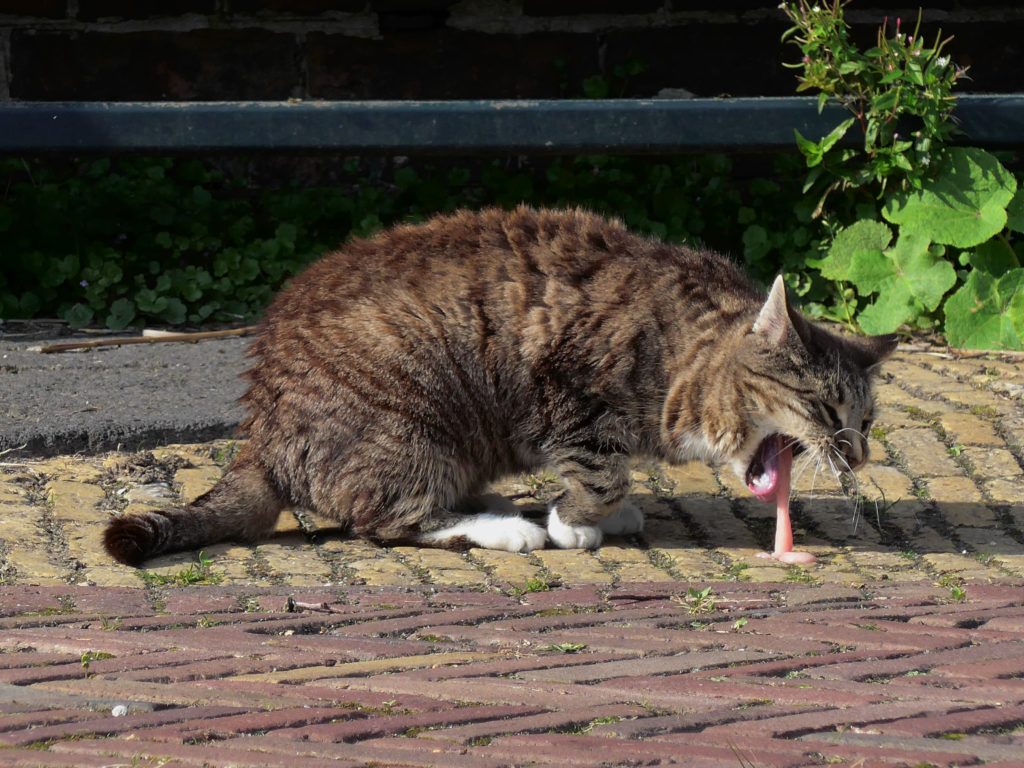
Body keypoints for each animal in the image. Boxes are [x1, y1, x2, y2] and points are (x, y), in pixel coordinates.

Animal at [105, 207, 897, 569]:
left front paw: (599, 513)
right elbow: (601, 470)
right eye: (827, 407)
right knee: (385, 519)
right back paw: (506, 524)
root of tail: (261, 434)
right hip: (412, 422)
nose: (857, 456)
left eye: (866, 419)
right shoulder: (568, 388)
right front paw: (577, 522)